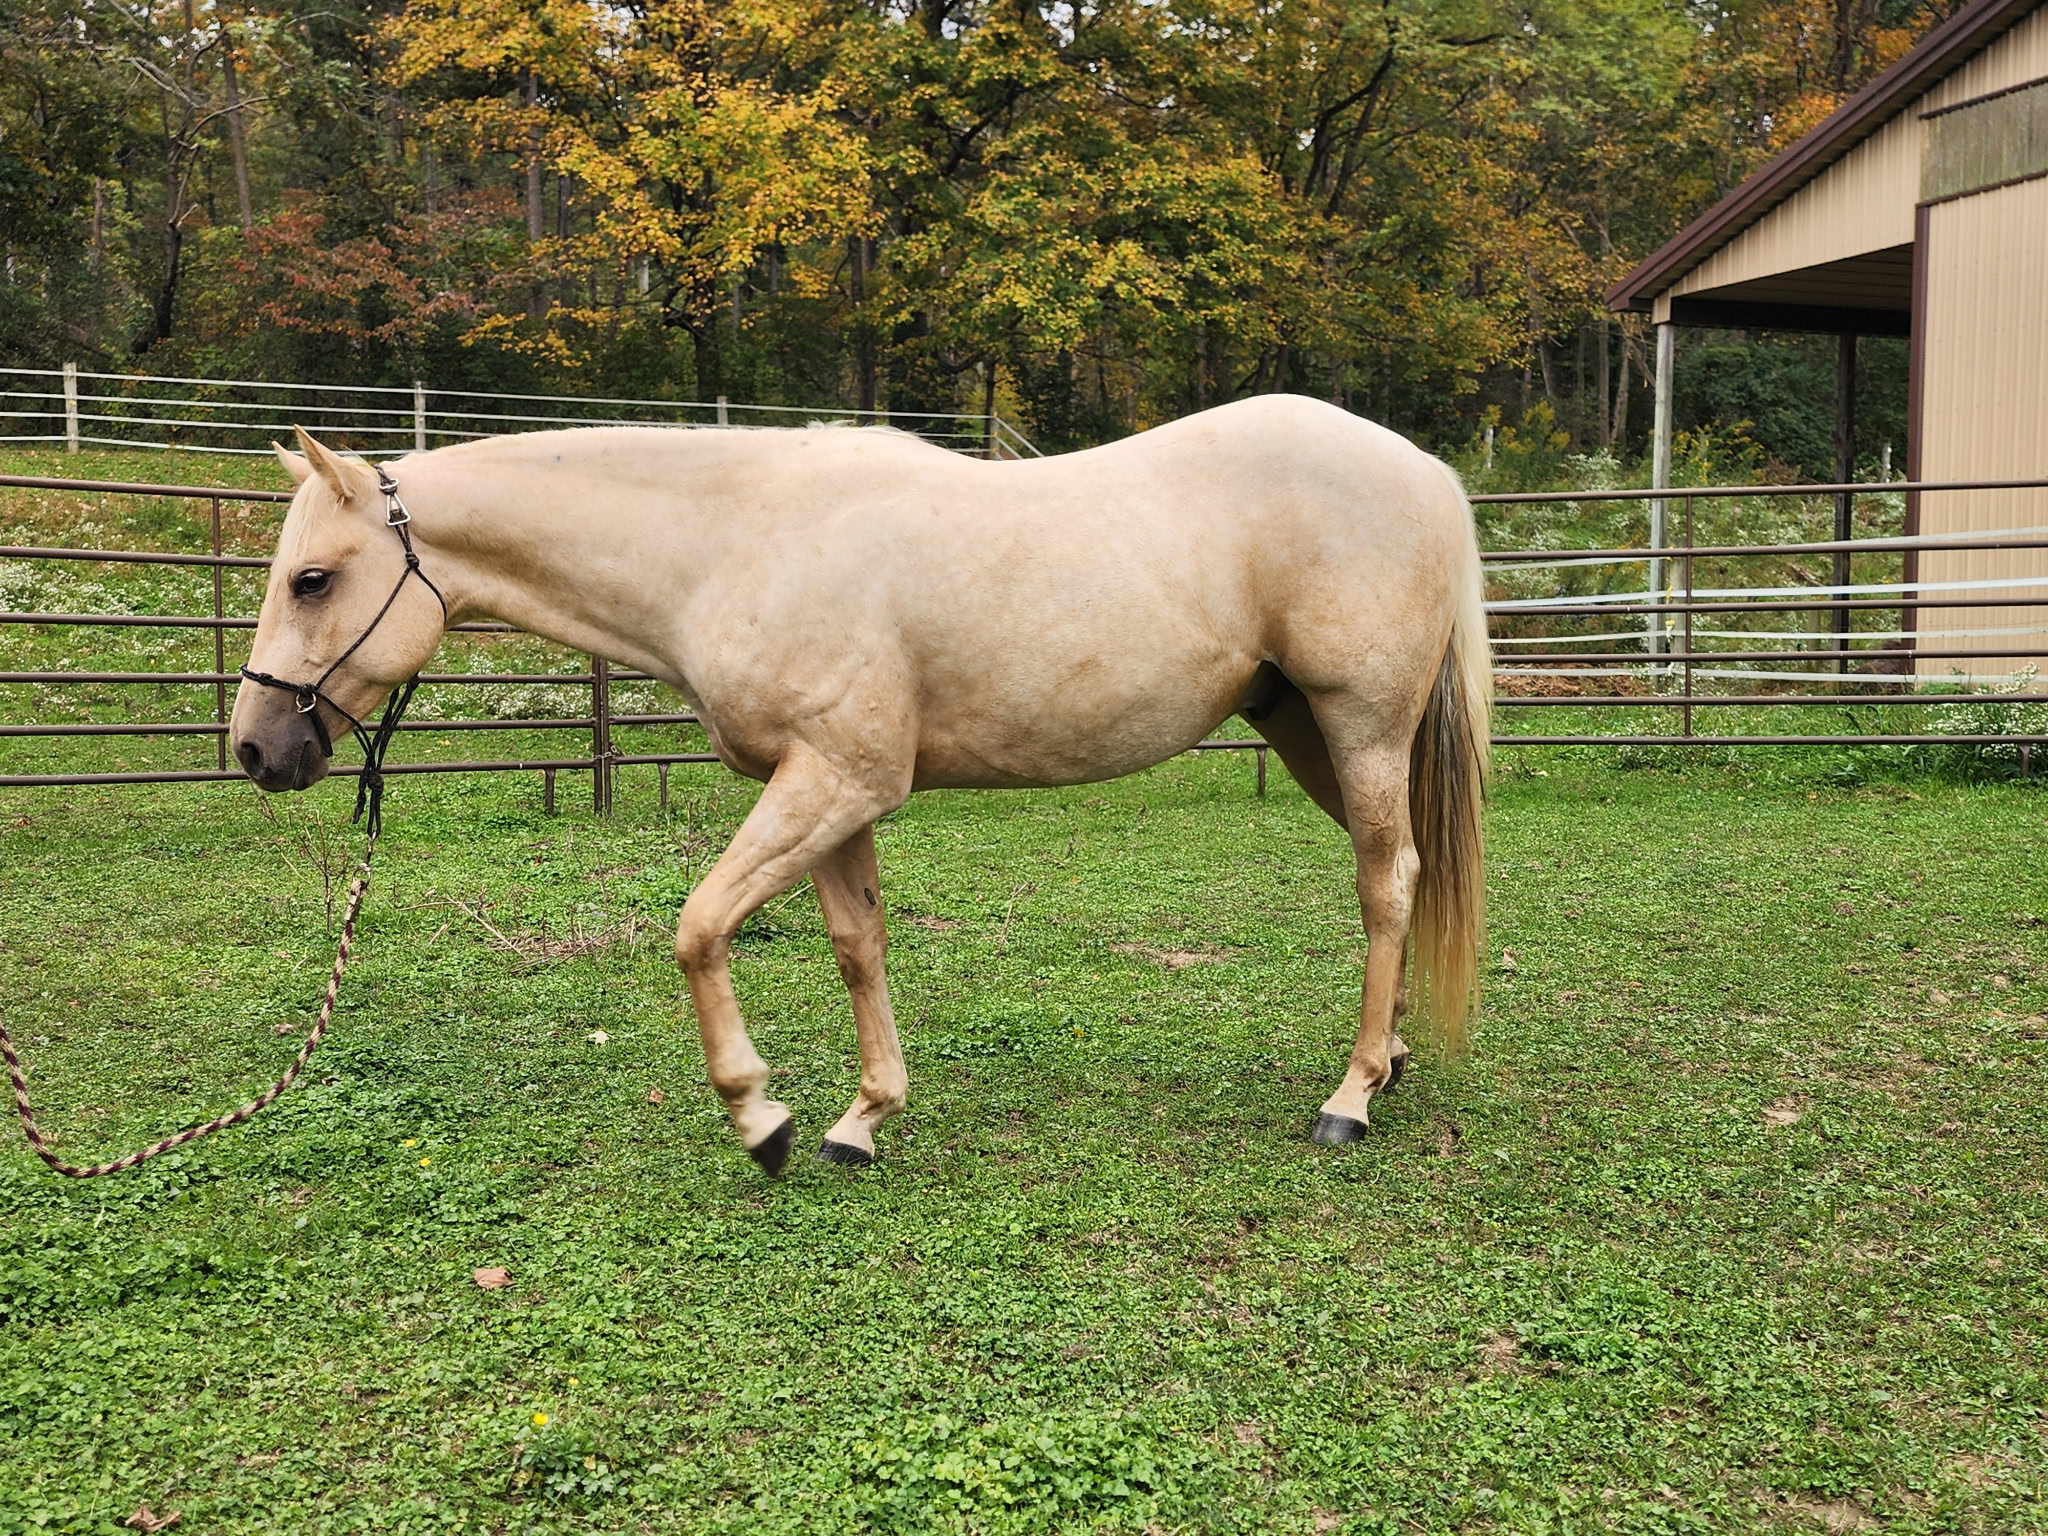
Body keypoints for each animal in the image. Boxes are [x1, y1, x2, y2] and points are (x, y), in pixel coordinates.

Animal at [230, 395, 1490, 1173]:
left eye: (310, 579)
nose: (254, 750)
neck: (736, 542)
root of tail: (1423, 468)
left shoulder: (836, 780)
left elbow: (699, 927)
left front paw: (761, 1119)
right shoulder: (832, 793)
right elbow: (856, 946)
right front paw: (862, 1119)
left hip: (1359, 727)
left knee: (1385, 884)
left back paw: (1346, 1099)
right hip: (1305, 731)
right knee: (1394, 877)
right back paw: (1387, 1061)